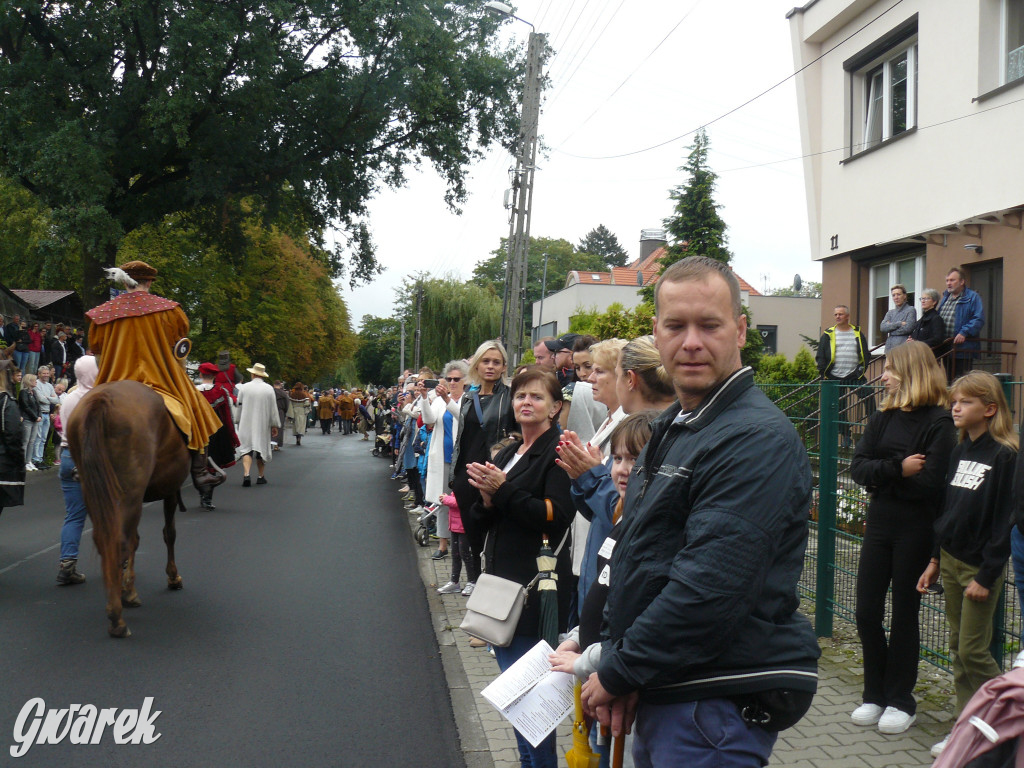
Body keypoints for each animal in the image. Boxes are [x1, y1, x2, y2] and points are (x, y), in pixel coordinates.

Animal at [67, 378, 191, 638]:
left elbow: (137, 539)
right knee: (121, 542)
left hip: (94, 491)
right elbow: (168, 533)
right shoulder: (169, 490)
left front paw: (128, 586)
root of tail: (101, 400)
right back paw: (117, 619)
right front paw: (172, 577)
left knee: (107, 540)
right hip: (129, 492)